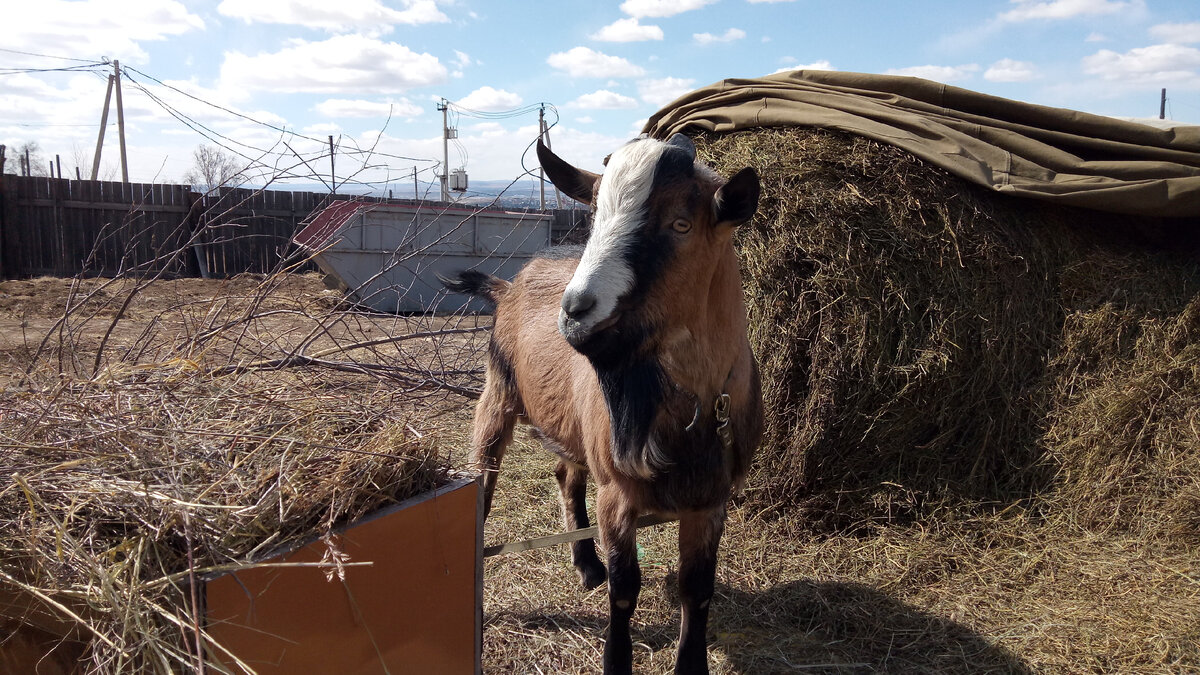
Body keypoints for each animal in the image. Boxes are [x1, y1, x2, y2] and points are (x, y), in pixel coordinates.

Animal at [441, 132, 758, 672]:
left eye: (680, 223)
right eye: (594, 216)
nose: (574, 312)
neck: (689, 411)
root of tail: (506, 286)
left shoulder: (711, 499)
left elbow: (698, 590)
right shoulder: (617, 493)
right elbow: (626, 590)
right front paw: (615, 660)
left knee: (566, 474)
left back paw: (587, 565)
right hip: (497, 395)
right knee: (484, 480)